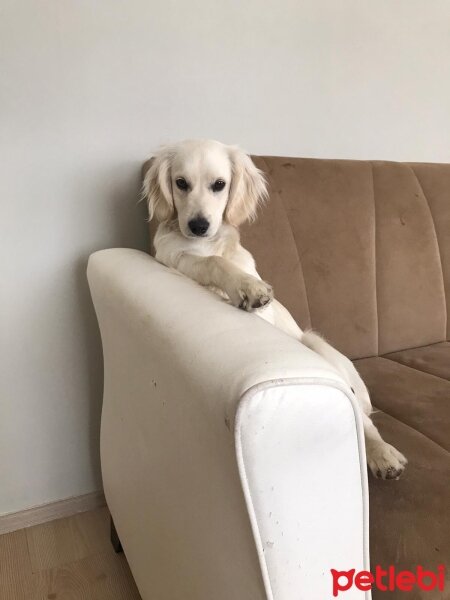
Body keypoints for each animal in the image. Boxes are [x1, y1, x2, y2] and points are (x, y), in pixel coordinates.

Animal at [143, 138, 408, 480]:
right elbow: (209, 262)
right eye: (181, 183)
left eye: (219, 184)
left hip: (316, 346)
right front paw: (243, 287)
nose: (198, 226)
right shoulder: (176, 259)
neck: (207, 245)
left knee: (364, 420)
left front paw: (249, 287)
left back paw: (382, 453)